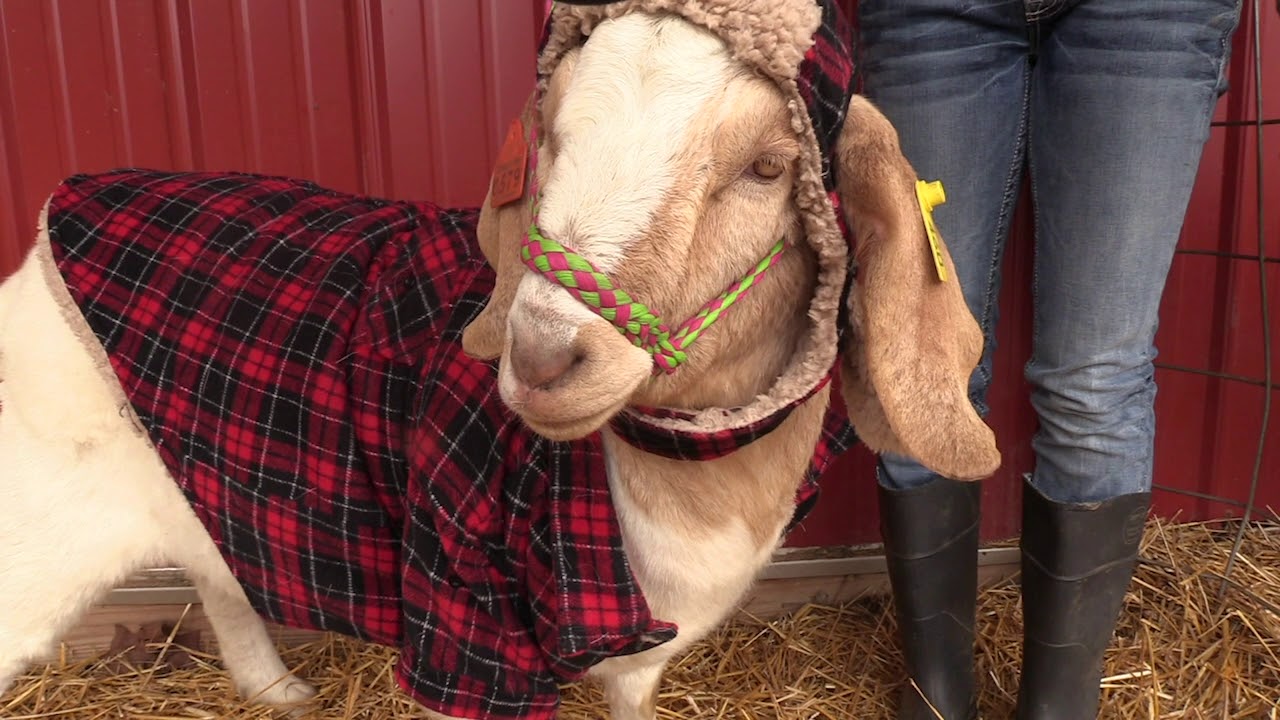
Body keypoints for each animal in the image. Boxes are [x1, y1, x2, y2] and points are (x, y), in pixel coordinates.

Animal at [0, 2, 1000, 719]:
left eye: (767, 166)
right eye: (547, 136)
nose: (543, 357)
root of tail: (51, 226)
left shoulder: (639, 655)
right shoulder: (463, 626)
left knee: (221, 577)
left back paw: (275, 690)